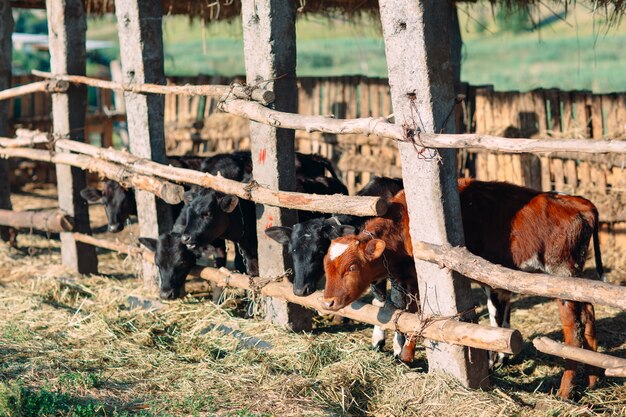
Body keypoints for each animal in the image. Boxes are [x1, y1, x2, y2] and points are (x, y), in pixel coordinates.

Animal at [320, 179, 604, 396]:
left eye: (352, 267)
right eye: (326, 266)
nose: (327, 302)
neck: (403, 225)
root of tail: (579, 203)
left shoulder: (420, 276)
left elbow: (419, 315)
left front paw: (406, 354)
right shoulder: (406, 277)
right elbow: (404, 313)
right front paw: (402, 354)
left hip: (560, 278)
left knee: (573, 330)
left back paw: (565, 392)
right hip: (577, 278)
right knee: (589, 316)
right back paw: (593, 381)